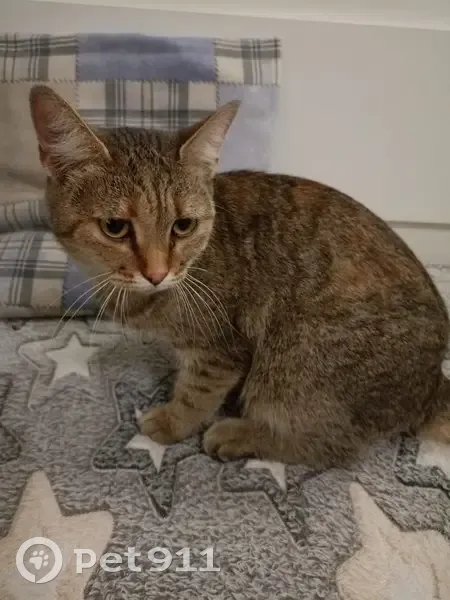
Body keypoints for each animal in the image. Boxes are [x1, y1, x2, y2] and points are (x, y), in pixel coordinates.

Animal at [29, 84, 450, 468]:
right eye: (115, 227)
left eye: (183, 225)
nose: (157, 273)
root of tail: (431, 387)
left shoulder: (222, 349)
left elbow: (196, 392)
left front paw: (171, 420)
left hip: (295, 358)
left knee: (332, 446)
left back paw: (240, 434)